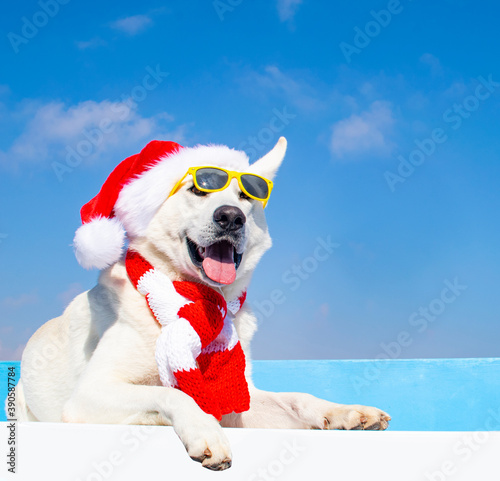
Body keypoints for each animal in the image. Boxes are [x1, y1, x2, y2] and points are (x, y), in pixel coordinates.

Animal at [13, 137, 390, 470]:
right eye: (197, 190)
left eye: (246, 195)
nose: (231, 217)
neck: (196, 301)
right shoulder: (89, 393)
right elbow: (176, 394)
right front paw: (205, 431)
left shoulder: (241, 401)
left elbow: (297, 398)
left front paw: (344, 412)